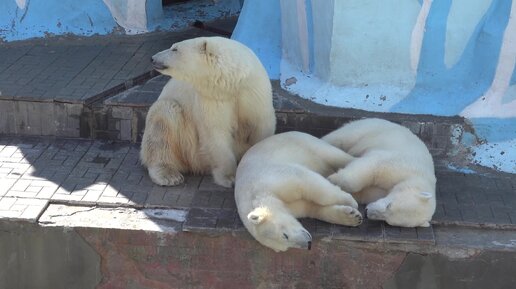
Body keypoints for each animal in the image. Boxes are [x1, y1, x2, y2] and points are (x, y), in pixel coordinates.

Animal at [141, 36, 276, 187]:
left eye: (175, 49)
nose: (152, 58)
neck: (233, 82)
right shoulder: (212, 98)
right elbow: (216, 132)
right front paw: (229, 178)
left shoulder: (253, 93)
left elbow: (261, 126)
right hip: (187, 145)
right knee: (163, 120)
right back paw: (169, 175)